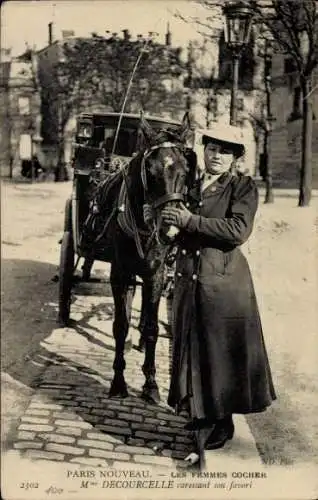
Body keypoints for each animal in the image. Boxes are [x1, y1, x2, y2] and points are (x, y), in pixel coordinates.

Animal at [87, 112, 193, 402]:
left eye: (185, 171)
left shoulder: (156, 273)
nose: (171, 230)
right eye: (151, 171)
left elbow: (152, 327)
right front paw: (118, 381)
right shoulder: (121, 273)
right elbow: (120, 325)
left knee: (146, 315)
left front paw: (151, 383)